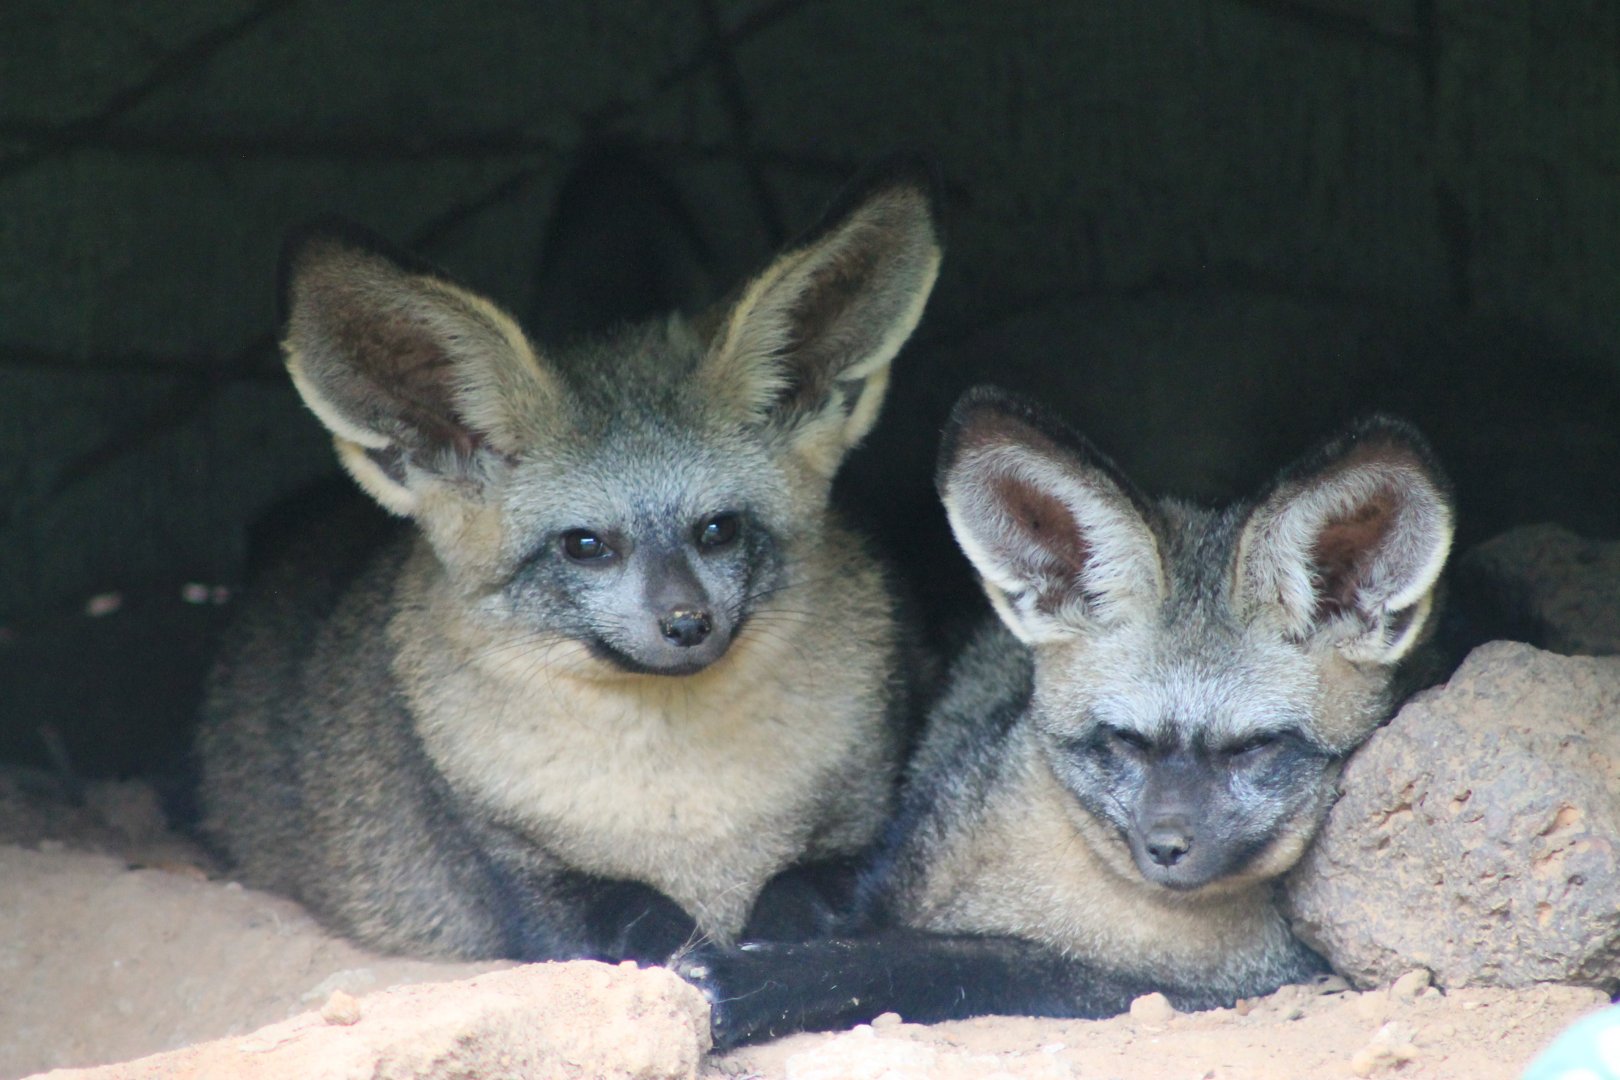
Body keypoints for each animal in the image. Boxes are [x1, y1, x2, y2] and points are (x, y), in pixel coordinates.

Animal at [195, 161, 942, 964]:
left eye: (719, 529)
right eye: (585, 545)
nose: (687, 622)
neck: (687, 817)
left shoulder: (865, 821)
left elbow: (799, 898)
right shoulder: (523, 875)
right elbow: (648, 929)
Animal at [683, 385, 1455, 1046]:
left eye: (1253, 747)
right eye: (1125, 741)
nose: (1166, 846)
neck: (1078, 889)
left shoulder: (1139, 985)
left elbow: (937, 960)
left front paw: (755, 980)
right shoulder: (891, 857)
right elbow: (789, 891)